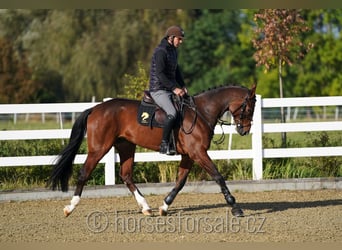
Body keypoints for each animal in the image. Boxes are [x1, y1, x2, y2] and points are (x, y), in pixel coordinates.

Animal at [48, 83, 256, 217]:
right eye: (249, 107)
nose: (244, 130)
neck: (200, 112)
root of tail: (95, 108)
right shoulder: (198, 152)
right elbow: (218, 176)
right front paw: (235, 207)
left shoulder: (189, 155)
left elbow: (180, 182)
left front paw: (164, 206)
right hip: (99, 148)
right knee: (84, 173)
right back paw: (70, 207)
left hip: (126, 146)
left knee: (126, 175)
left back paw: (146, 207)